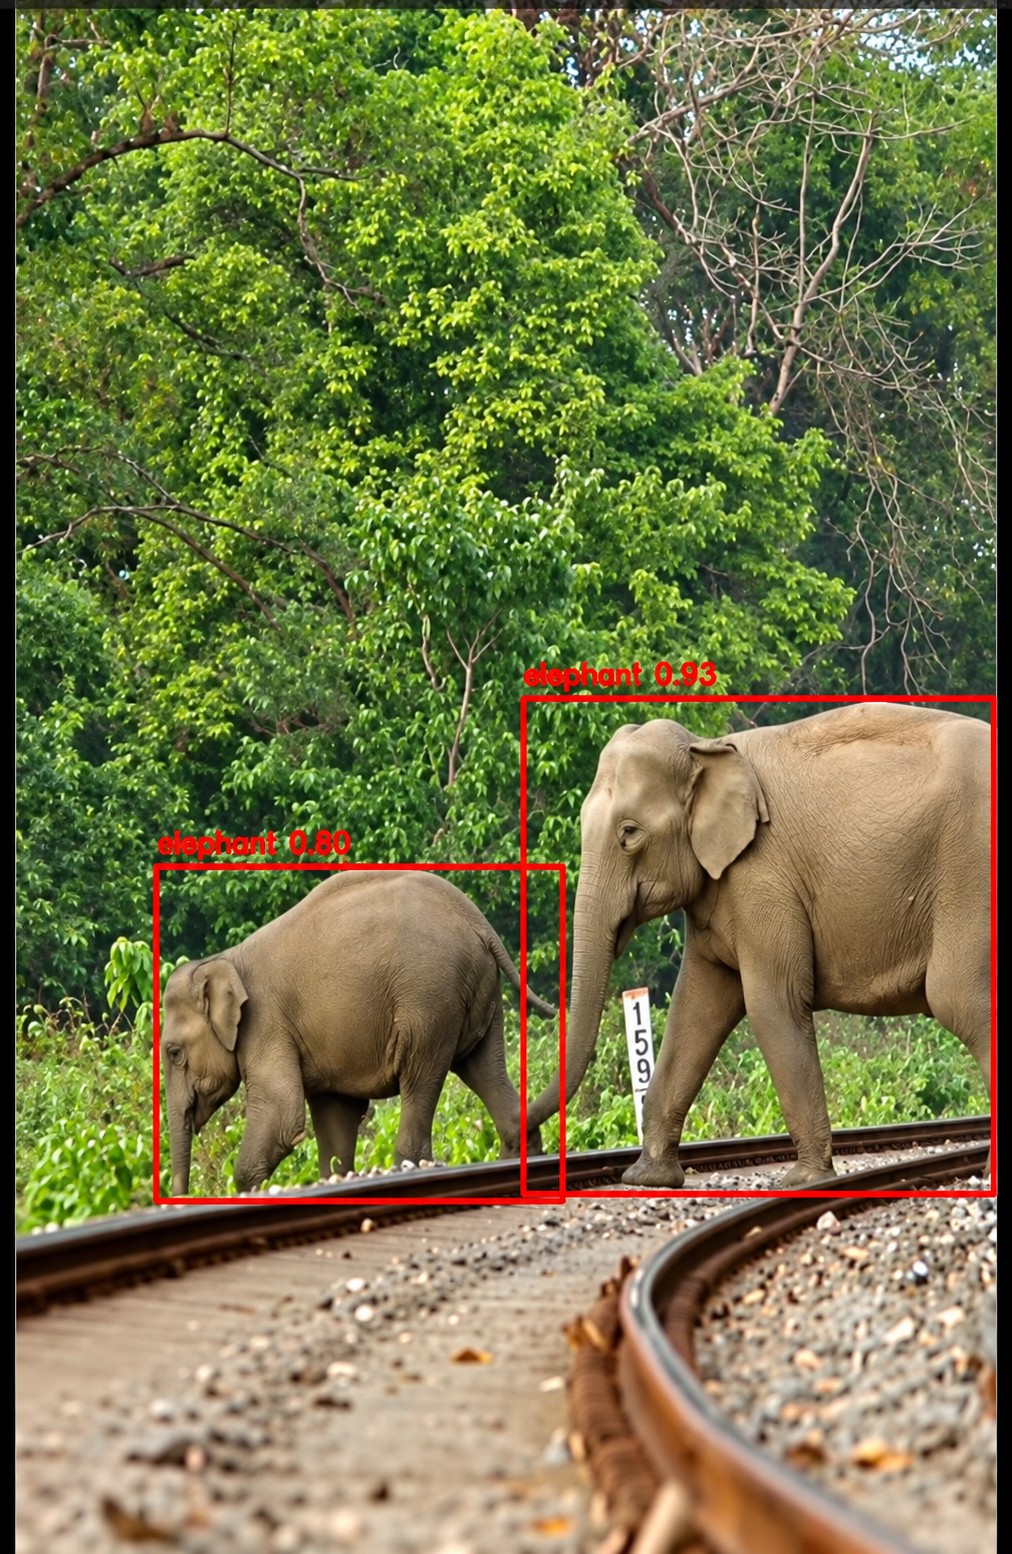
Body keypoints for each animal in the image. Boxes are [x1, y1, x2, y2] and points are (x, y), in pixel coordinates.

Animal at [161, 869, 555, 1194]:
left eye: (174, 1053)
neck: (222, 960)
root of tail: (479, 922)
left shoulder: (266, 1024)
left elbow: (282, 1113)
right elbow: (335, 1115)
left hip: (428, 998)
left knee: (420, 1076)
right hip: (476, 995)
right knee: (483, 1068)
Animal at [525, 704, 991, 1187]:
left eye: (629, 833)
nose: (529, 1140)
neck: (705, 748)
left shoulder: (762, 876)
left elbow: (772, 1001)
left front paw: (805, 1181)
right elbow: (696, 1008)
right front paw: (647, 1178)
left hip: (969, 868)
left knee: (960, 997)